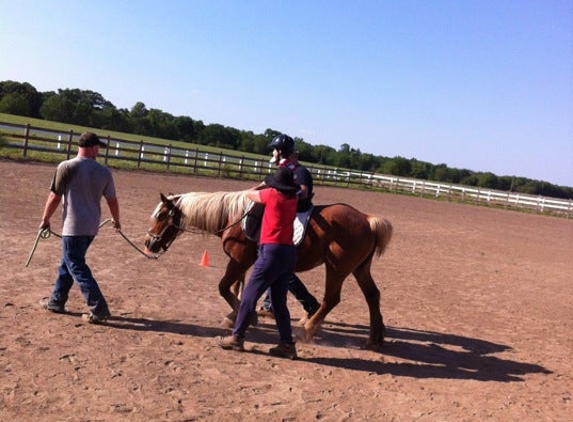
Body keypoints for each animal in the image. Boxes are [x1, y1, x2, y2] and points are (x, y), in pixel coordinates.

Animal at [145, 191, 392, 350]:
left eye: (161, 216)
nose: (149, 243)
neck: (235, 217)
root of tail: (367, 220)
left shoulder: (238, 260)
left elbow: (225, 287)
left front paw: (246, 315)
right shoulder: (246, 263)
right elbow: (240, 288)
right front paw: (235, 316)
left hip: (337, 268)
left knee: (331, 299)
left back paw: (308, 329)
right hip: (359, 268)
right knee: (373, 295)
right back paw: (375, 339)